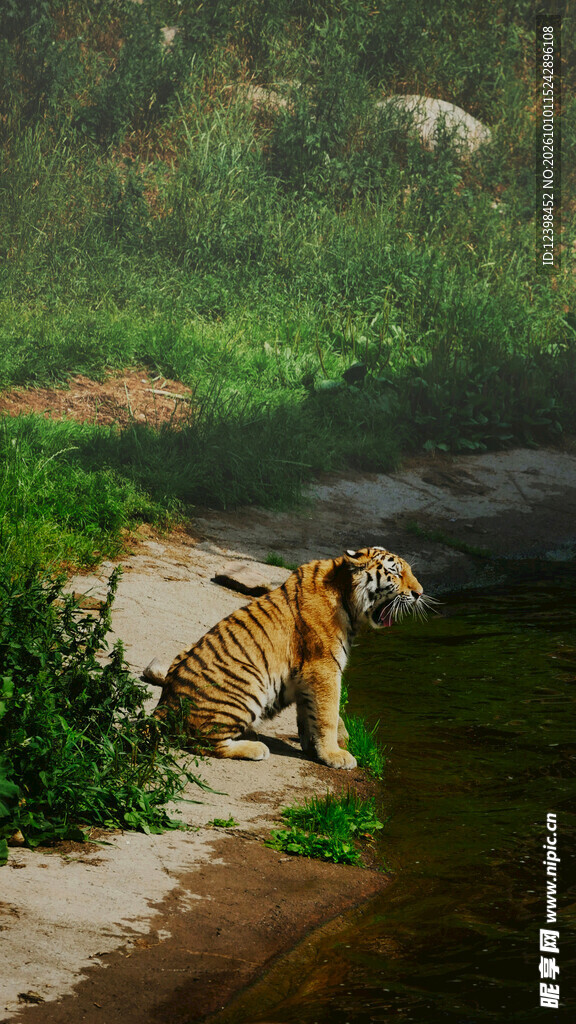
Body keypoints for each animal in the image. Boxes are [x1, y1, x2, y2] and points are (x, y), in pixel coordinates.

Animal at [144, 546, 428, 770]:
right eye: (396, 573)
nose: (420, 593)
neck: (346, 594)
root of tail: (165, 703)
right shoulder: (324, 669)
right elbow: (328, 714)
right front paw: (336, 754)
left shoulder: (308, 678)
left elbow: (311, 715)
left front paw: (315, 749)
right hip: (250, 682)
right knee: (202, 741)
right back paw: (255, 748)